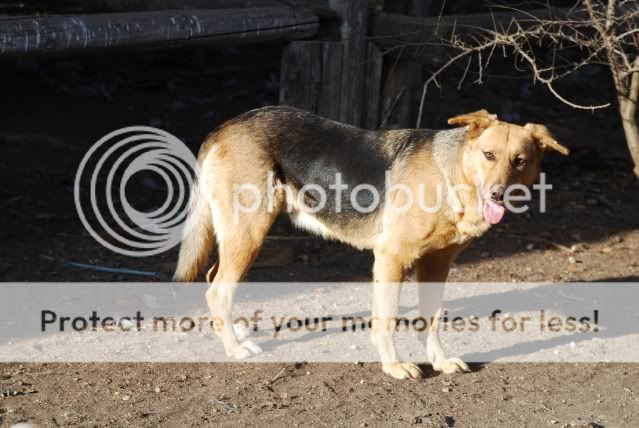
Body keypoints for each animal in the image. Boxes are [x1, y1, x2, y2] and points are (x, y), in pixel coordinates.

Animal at [172, 105, 568, 380]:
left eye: (520, 161)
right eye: (488, 156)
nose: (499, 195)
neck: (452, 176)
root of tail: (222, 128)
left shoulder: (436, 264)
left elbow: (432, 320)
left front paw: (439, 360)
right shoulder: (392, 259)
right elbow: (386, 320)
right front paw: (393, 367)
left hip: (241, 238)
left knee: (213, 280)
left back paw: (232, 331)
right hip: (250, 233)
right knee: (217, 290)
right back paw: (234, 348)